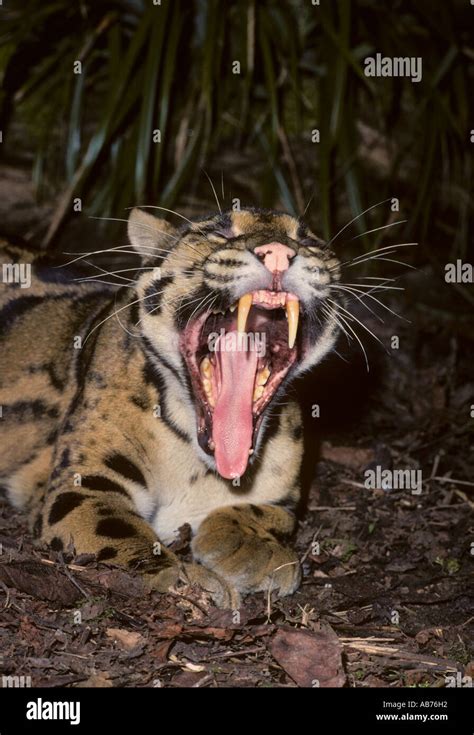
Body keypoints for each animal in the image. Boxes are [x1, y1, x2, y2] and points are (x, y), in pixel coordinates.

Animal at [0, 206, 340, 604]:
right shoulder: (82, 483)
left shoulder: (282, 497)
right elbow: (117, 528)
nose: (278, 252)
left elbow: (270, 513)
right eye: (220, 232)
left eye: (308, 240)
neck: (197, 467)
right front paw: (188, 580)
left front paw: (253, 547)